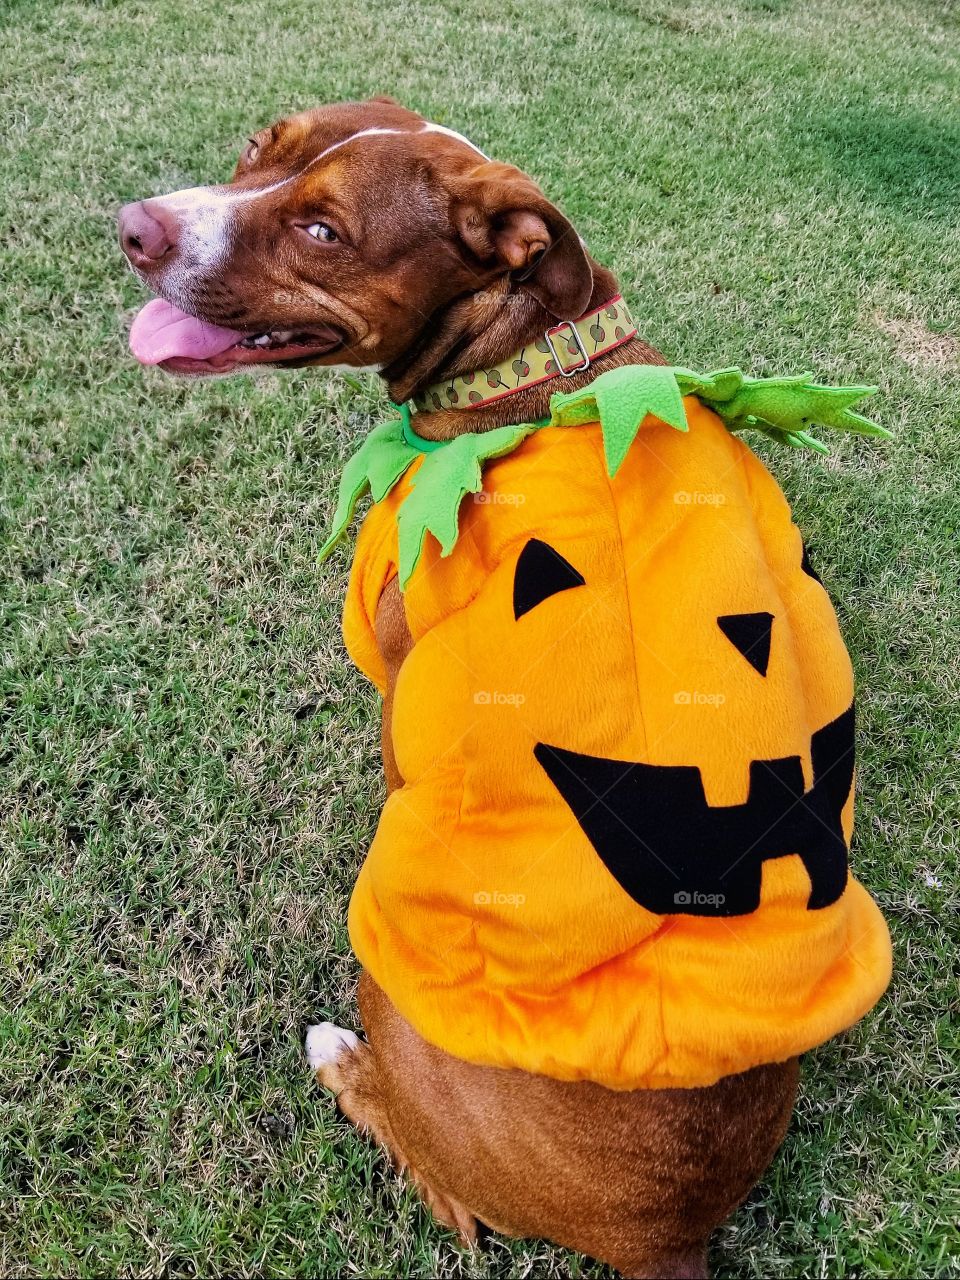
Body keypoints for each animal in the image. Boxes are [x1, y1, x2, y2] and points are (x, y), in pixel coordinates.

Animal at [122, 94, 896, 1274]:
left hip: (390, 990)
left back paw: (339, 1057)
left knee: (448, 1194)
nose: (132, 227)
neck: (526, 354)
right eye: (262, 147)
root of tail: (663, 1232)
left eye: (324, 234)